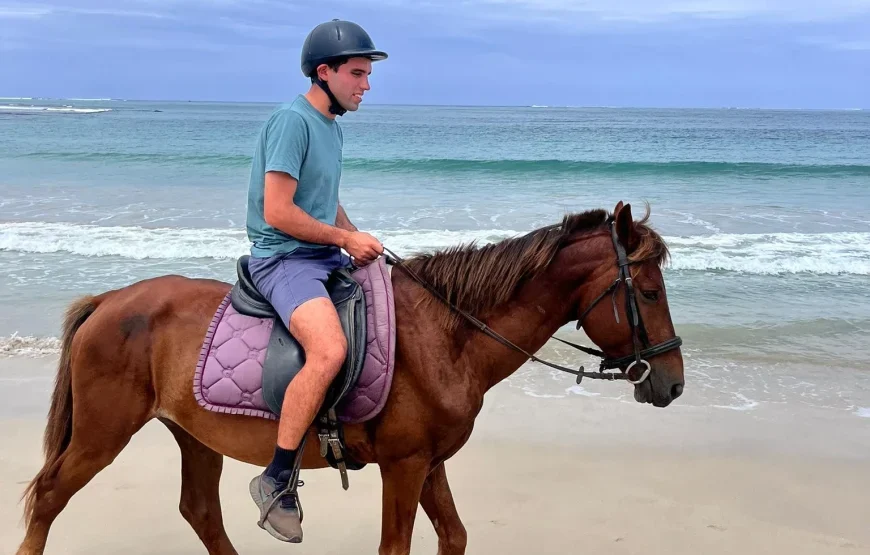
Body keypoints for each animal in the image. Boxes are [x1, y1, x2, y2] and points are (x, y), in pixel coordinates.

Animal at [15, 201, 684, 555]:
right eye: (650, 292)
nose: (673, 384)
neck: (446, 334)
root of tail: (109, 301)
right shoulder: (405, 467)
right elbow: (398, 547)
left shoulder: (429, 464)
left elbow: (455, 536)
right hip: (103, 433)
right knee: (48, 497)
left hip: (194, 435)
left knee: (200, 511)